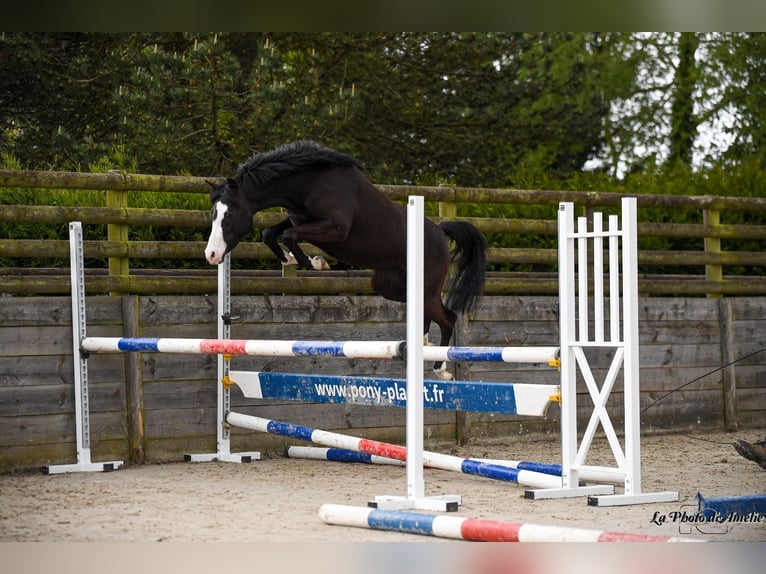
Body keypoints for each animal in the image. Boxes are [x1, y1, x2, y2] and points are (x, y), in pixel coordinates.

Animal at [204, 140, 487, 380]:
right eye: (213, 213)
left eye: (229, 214)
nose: (212, 255)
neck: (309, 183)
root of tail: (440, 230)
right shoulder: (298, 218)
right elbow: (271, 233)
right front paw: (289, 260)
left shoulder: (335, 229)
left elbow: (288, 235)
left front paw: (315, 262)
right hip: (391, 286)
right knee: (427, 314)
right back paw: (425, 345)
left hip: (426, 288)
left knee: (448, 318)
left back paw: (441, 369)